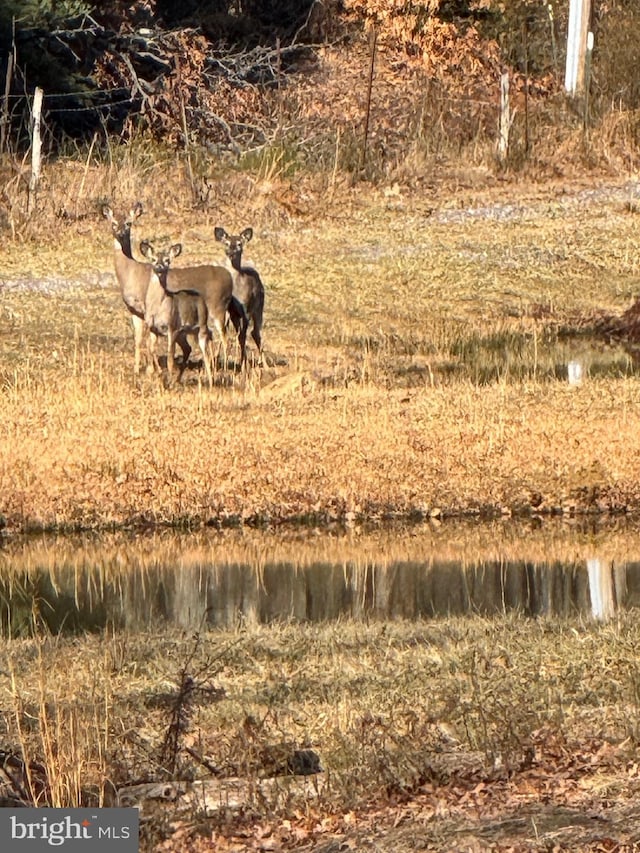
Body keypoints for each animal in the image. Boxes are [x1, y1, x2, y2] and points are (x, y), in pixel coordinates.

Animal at [139, 240, 246, 386]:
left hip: (203, 324)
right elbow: (150, 350)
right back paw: (181, 378)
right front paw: (155, 374)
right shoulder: (152, 328)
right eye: (153, 259)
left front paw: (168, 381)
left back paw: (212, 379)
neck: (159, 306)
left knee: (209, 348)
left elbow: (170, 357)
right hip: (184, 332)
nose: (159, 267)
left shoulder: (172, 327)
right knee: (189, 347)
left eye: (167, 260)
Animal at [215, 225, 264, 364]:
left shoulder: (246, 309)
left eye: (239, 244)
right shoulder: (230, 311)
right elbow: (227, 332)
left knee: (256, 332)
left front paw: (244, 362)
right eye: (226, 243)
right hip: (236, 315)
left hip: (259, 307)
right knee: (245, 333)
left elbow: (242, 336)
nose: (230, 252)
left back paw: (262, 362)